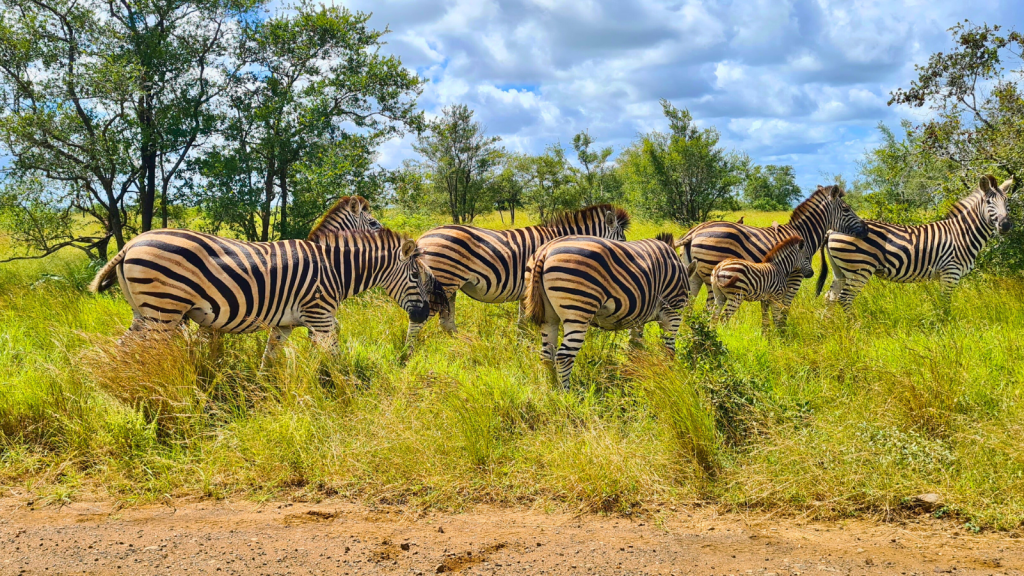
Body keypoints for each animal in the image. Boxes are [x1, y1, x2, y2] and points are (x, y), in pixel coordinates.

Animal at [93, 226, 448, 364]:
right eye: (415, 276)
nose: (424, 315)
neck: (335, 270)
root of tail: (130, 244)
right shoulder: (321, 315)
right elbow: (334, 357)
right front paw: (344, 394)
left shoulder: (285, 323)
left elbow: (269, 360)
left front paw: (266, 396)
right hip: (162, 311)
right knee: (142, 353)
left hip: (144, 313)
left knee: (122, 349)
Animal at [409, 201, 630, 338]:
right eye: (621, 242)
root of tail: (423, 237)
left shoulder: (527, 290)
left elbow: (523, 321)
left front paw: (520, 345)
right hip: (443, 282)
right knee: (419, 321)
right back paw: (410, 356)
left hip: (449, 287)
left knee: (446, 323)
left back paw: (462, 345)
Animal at [524, 231, 692, 385]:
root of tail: (546, 249)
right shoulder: (673, 311)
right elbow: (669, 349)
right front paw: (668, 377)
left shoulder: (639, 318)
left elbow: (635, 346)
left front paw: (635, 373)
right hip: (578, 310)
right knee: (564, 357)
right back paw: (566, 394)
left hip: (549, 316)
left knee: (547, 354)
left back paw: (553, 389)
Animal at [675, 182, 868, 319]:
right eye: (846, 209)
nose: (866, 228)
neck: (803, 233)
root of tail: (695, 231)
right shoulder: (796, 276)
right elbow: (785, 307)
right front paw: (782, 334)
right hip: (711, 276)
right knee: (708, 309)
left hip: (693, 276)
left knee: (688, 308)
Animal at [815, 175, 1015, 309]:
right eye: (989, 202)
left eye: (1007, 202)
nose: (1005, 225)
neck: (962, 234)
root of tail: (831, 230)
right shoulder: (950, 272)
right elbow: (945, 304)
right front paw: (947, 328)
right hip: (859, 269)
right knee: (844, 299)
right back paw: (854, 329)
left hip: (841, 271)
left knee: (830, 297)